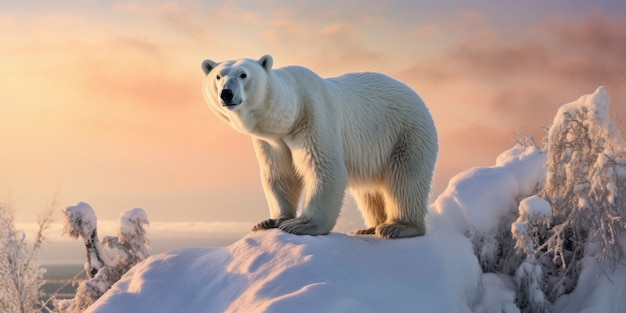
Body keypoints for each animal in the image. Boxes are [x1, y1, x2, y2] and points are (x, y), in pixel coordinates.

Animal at [202, 54, 436, 238]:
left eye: (243, 74)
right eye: (218, 76)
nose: (227, 93)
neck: (290, 114)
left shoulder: (314, 117)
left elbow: (323, 167)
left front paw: (301, 224)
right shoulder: (272, 141)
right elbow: (280, 174)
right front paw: (270, 221)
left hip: (406, 134)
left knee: (405, 180)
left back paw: (397, 226)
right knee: (369, 191)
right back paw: (370, 227)